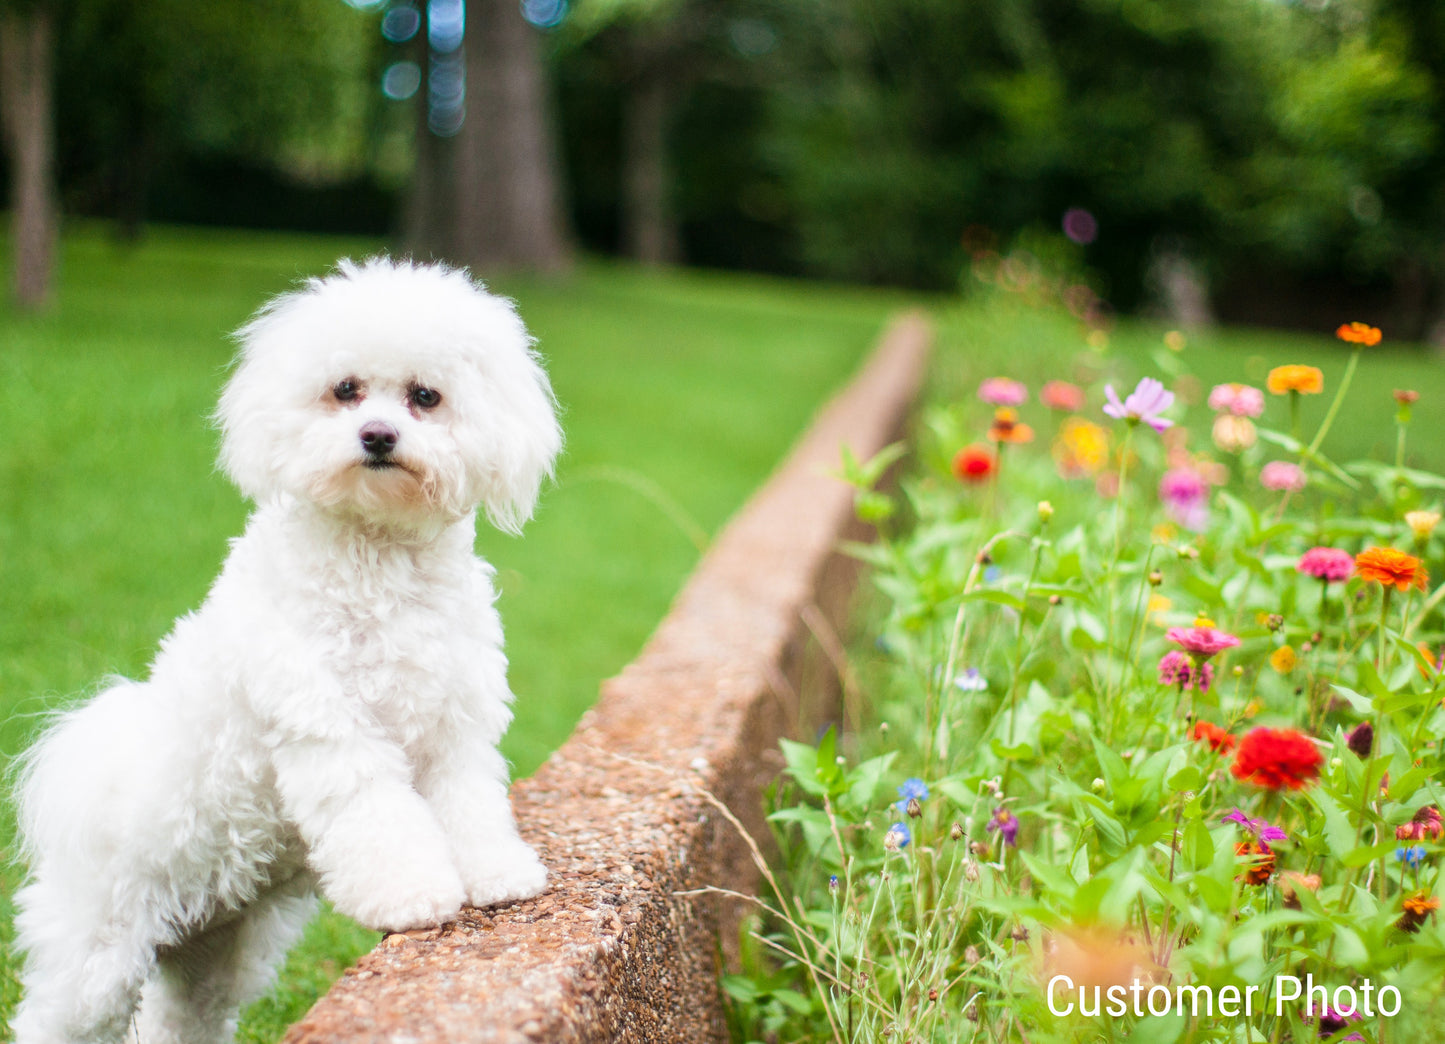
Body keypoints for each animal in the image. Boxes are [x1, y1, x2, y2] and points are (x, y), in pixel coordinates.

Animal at [12, 258, 563, 1041]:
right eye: (345, 389)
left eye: (425, 397)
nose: (376, 435)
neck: (377, 558)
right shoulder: (330, 729)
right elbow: (377, 816)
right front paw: (413, 894)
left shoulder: (452, 725)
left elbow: (470, 803)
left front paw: (495, 874)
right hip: (98, 950)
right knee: (60, 1017)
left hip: (219, 951)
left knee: (184, 1017)